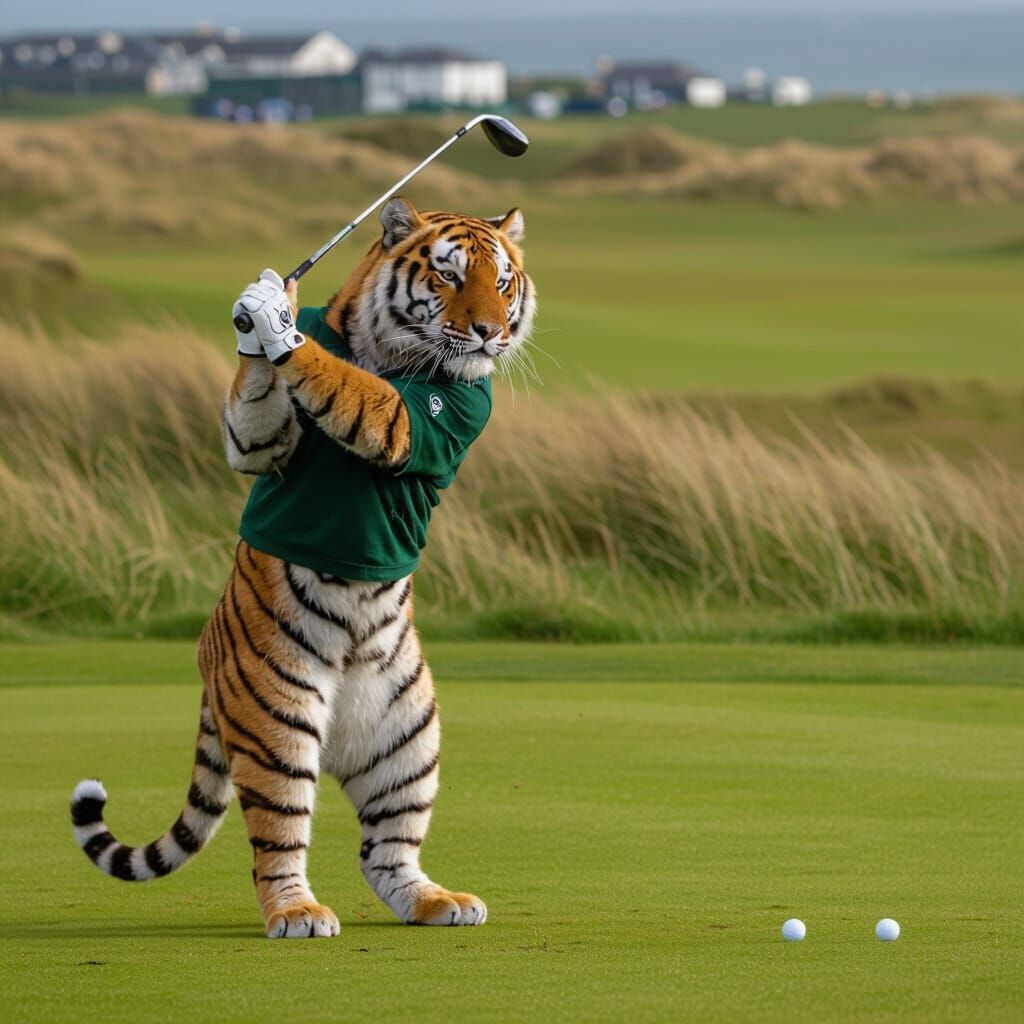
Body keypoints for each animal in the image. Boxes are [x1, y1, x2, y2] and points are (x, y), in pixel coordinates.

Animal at [70, 197, 536, 938]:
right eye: (450, 277)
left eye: (503, 282)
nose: (490, 334)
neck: (389, 347)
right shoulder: (261, 440)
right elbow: (260, 424)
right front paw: (265, 308)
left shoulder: (420, 415)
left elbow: (348, 385)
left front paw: (271, 319)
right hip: (277, 718)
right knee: (281, 836)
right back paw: (299, 909)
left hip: (407, 737)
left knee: (384, 850)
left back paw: (428, 901)